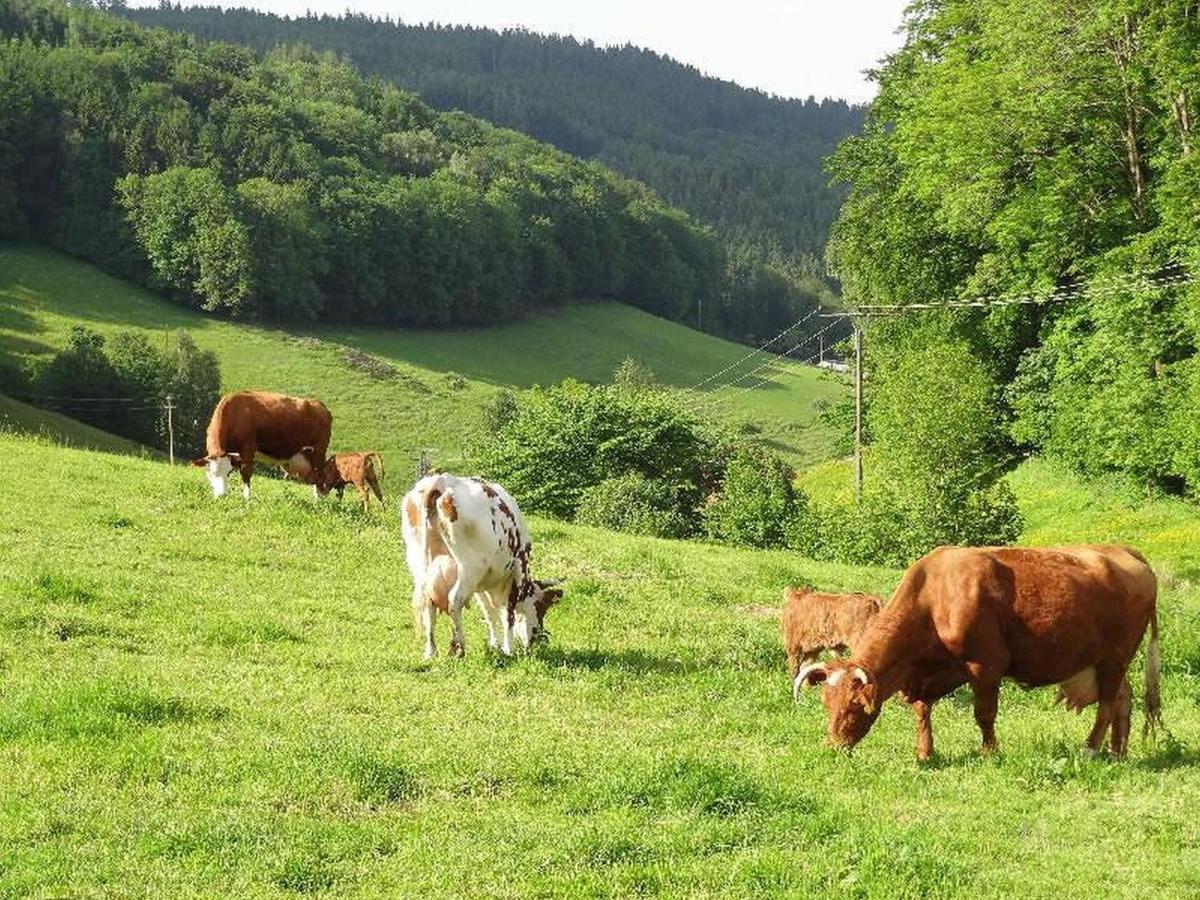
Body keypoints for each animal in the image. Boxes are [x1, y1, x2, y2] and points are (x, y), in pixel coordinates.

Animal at [192, 388, 333, 501]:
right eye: (211, 473)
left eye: (228, 473)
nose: (221, 496)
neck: (234, 412)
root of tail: (320, 405)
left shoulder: (248, 448)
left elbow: (246, 472)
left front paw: (247, 499)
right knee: (315, 478)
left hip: (319, 451)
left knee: (320, 475)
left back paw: (318, 502)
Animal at [398, 472, 556, 662]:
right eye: (541, 608)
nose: (538, 641)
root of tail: (442, 480)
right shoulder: (517, 568)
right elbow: (508, 613)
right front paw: (508, 649)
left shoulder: (481, 584)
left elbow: (489, 613)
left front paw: (494, 645)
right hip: (469, 568)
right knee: (454, 600)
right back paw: (459, 648)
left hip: (420, 565)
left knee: (428, 605)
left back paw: (431, 651)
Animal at [796, 547, 1161, 763]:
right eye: (826, 703)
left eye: (855, 706)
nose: (833, 746)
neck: (934, 598)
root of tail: (1122, 551)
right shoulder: (936, 672)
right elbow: (922, 710)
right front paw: (925, 753)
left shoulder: (986, 665)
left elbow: (984, 714)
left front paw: (988, 752)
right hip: (1104, 661)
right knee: (1123, 698)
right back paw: (1117, 751)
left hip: (1115, 656)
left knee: (1108, 704)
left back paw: (1090, 748)